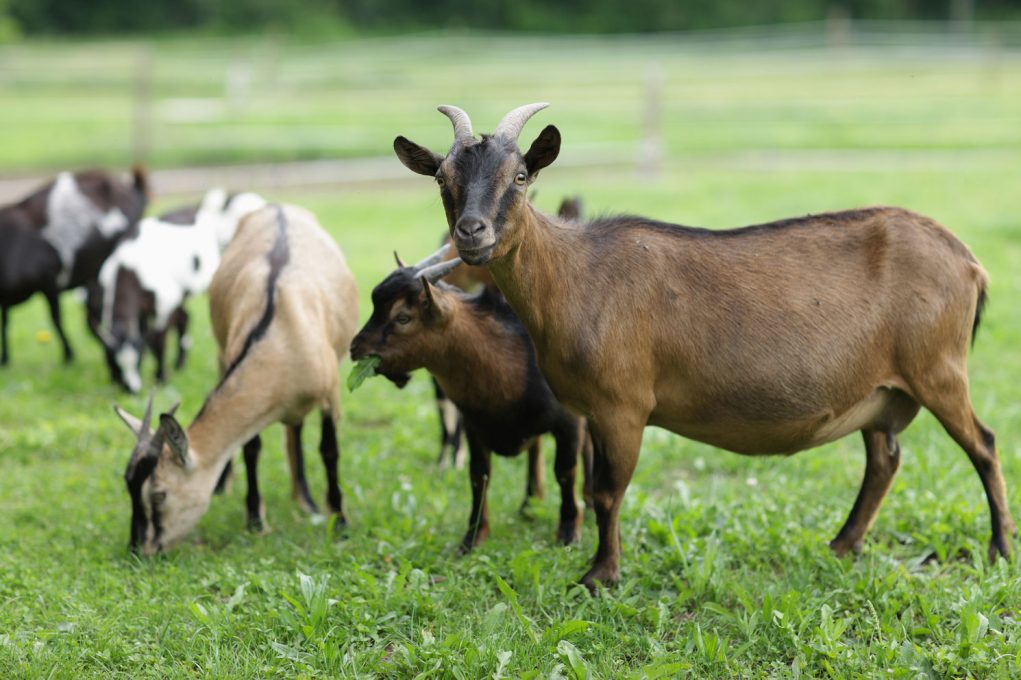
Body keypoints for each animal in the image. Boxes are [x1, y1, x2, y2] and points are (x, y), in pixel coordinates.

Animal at [88, 188, 265, 392]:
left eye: (138, 360)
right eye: (113, 363)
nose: (132, 389)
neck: (128, 271)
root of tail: (200, 208)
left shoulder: (165, 302)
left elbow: (157, 341)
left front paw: (160, 377)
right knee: (184, 318)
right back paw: (179, 364)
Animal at [112, 201, 357, 551]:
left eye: (159, 494)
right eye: (128, 486)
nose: (137, 549)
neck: (283, 335)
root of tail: (278, 206)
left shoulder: (331, 393)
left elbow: (329, 450)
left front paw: (339, 521)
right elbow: (250, 449)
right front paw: (255, 520)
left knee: (295, 429)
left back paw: (305, 499)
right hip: (219, 350)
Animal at [351, 249, 596, 551]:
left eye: (403, 318)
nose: (355, 348)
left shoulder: (568, 422)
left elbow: (565, 470)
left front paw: (568, 530)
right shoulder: (473, 426)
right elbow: (478, 475)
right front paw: (474, 536)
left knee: (587, 447)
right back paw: (529, 503)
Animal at [390, 100, 1012, 588]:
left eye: (520, 176)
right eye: (442, 178)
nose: (472, 232)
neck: (576, 276)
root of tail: (968, 261)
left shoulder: (623, 403)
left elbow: (607, 492)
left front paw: (600, 576)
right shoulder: (586, 411)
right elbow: (589, 486)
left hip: (939, 366)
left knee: (983, 444)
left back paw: (999, 549)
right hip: (882, 389)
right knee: (885, 458)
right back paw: (842, 544)